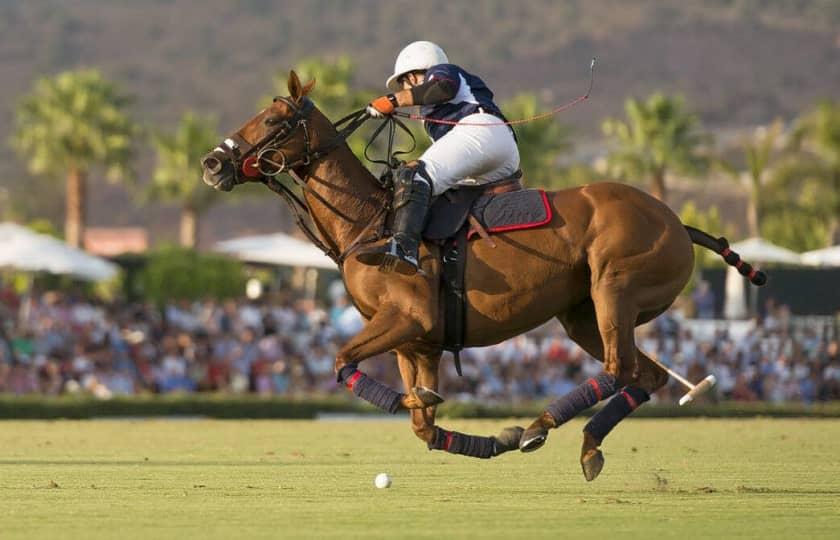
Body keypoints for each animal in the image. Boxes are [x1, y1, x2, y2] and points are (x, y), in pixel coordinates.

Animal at [202, 73, 760, 480]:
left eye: (274, 118)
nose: (212, 163)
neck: (369, 222)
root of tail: (680, 223)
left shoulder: (408, 317)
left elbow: (344, 362)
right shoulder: (418, 343)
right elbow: (424, 427)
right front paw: (487, 436)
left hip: (615, 287)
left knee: (621, 367)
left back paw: (541, 425)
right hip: (580, 314)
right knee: (647, 375)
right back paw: (573, 442)